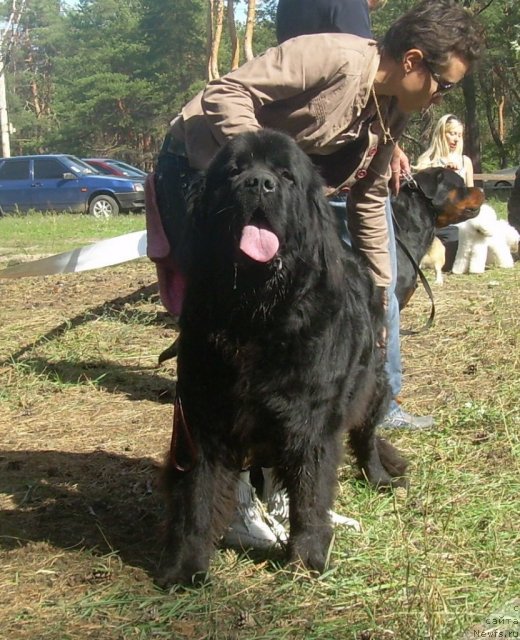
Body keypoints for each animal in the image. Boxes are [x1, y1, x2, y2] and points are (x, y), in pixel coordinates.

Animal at [161, 129, 406, 584]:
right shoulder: (202, 417)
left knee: (364, 436)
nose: (258, 184)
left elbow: (309, 493)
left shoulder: (310, 418)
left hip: (373, 386)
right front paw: (185, 567)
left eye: (286, 176)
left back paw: (379, 476)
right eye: (234, 171)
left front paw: (307, 558)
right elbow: (196, 497)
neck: (256, 313)